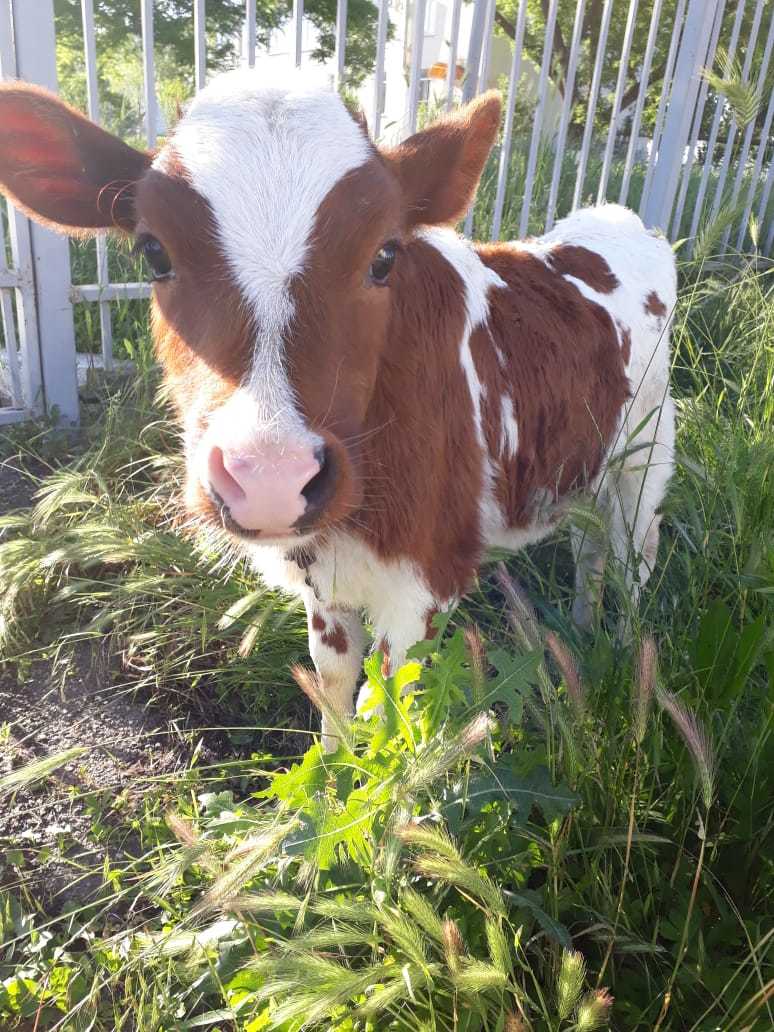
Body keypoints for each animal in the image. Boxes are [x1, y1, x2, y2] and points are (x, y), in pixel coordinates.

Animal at [0, 72, 676, 747]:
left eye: (384, 256)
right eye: (154, 253)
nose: (270, 480)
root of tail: (611, 218)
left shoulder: (427, 579)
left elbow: (389, 712)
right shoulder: (323, 588)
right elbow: (333, 684)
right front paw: (331, 764)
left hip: (645, 460)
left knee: (633, 559)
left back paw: (624, 655)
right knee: (590, 553)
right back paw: (583, 635)